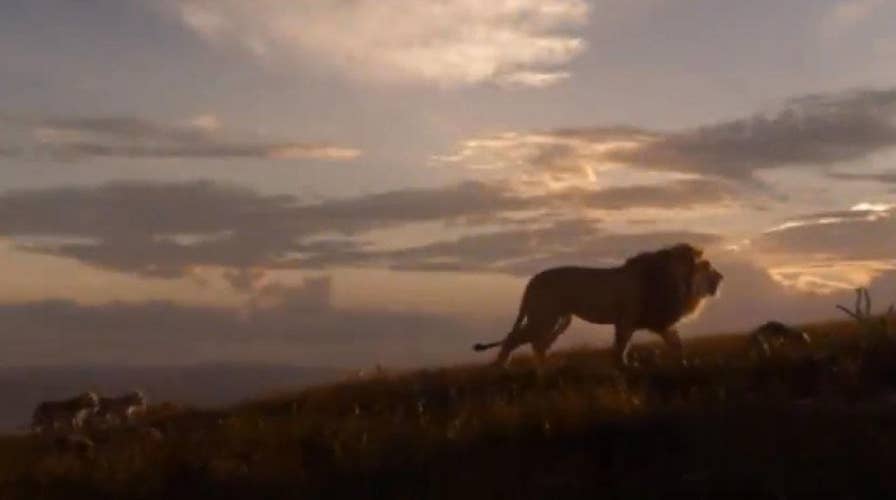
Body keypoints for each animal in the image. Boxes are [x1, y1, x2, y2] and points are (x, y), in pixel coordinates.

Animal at [473, 244, 723, 367]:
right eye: (707, 266)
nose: (721, 277)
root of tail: (531, 281)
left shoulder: (656, 321)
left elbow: (676, 344)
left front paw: (686, 363)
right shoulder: (626, 320)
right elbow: (621, 346)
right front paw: (624, 366)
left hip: (559, 319)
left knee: (537, 344)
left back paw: (545, 367)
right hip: (545, 317)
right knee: (517, 339)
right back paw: (503, 368)